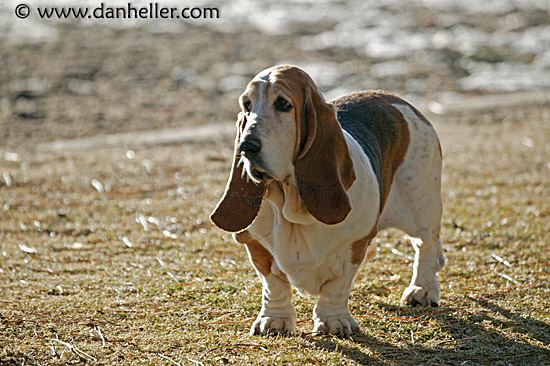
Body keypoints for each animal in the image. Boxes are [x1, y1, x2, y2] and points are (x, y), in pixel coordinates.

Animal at [209, 64, 446, 336]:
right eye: (247, 104)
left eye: (283, 104)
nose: (246, 147)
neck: (292, 203)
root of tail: (395, 99)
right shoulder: (255, 243)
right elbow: (274, 285)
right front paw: (274, 320)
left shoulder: (354, 243)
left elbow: (337, 286)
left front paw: (335, 321)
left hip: (422, 207)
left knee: (426, 246)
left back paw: (422, 290)